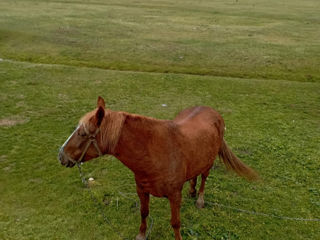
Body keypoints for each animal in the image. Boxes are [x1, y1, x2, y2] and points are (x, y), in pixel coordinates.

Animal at [57, 96, 258, 239]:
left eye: (83, 134)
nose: (61, 156)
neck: (154, 156)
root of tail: (213, 112)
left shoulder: (174, 196)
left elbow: (175, 222)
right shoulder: (142, 190)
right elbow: (144, 212)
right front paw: (141, 235)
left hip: (209, 162)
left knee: (204, 178)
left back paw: (199, 199)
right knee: (194, 175)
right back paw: (192, 191)